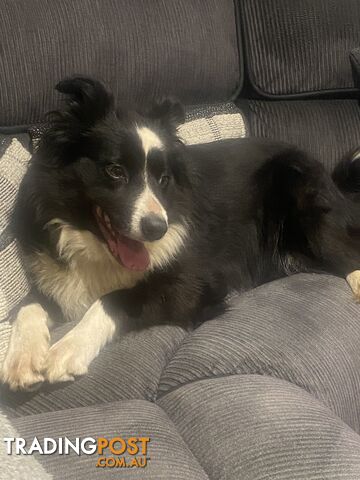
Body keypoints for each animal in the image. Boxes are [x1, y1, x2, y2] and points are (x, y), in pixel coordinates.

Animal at [2, 76, 360, 390]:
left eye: (163, 179)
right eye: (115, 171)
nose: (157, 230)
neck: (96, 247)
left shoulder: (194, 284)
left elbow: (115, 297)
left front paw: (67, 349)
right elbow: (27, 307)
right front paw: (23, 359)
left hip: (304, 199)